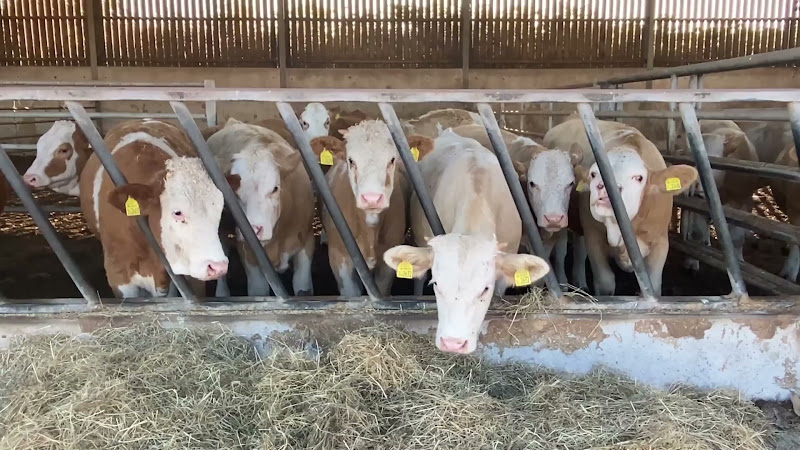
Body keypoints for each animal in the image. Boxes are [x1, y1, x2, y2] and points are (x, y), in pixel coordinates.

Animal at [207, 118, 315, 296]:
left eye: (275, 188)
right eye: (234, 192)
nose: (255, 229)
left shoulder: (306, 244)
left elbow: (302, 287)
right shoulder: (248, 253)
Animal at [545, 117, 698, 296]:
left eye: (639, 177)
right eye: (593, 174)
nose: (604, 190)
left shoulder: (660, 242)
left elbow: (653, 286)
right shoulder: (594, 237)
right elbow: (606, 283)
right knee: (561, 252)